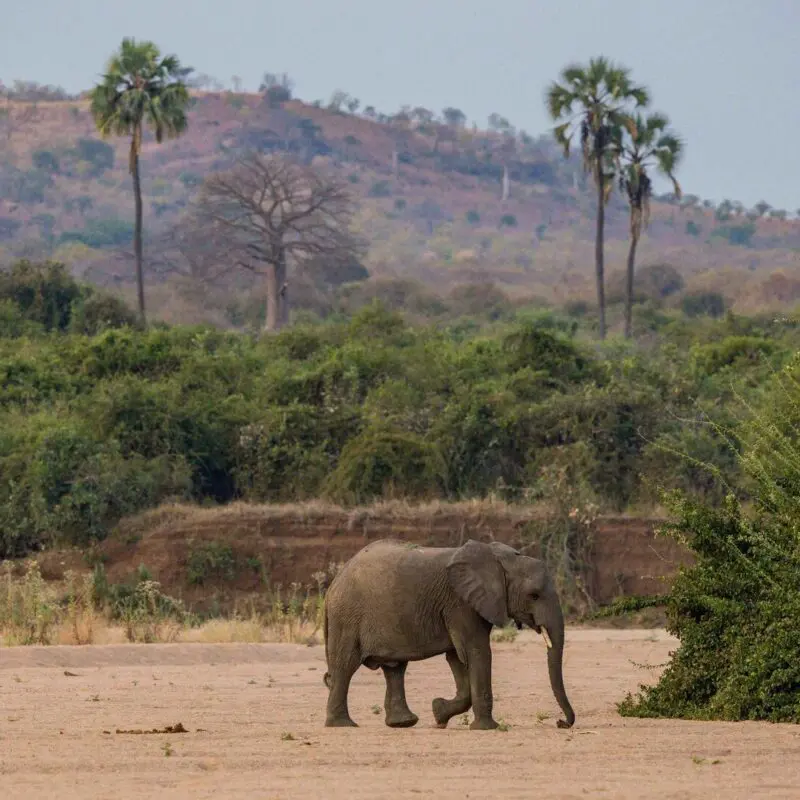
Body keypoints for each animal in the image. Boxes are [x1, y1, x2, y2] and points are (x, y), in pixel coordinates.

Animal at [321, 538, 575, 731]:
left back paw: (403, 723)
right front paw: (486, 729)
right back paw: (343, 725)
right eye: (534, 595)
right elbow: (477, 652)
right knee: (345, 666)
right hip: (347, 616)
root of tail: (333, 584)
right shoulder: (460, 603)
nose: (560, 722)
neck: (500, 559)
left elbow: (457, 657)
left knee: (394, 668)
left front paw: (438, 713)